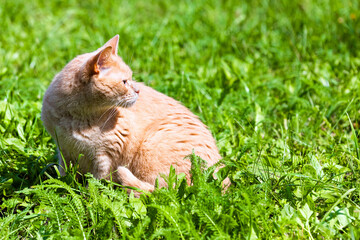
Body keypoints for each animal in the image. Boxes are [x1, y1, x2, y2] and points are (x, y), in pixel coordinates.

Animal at [40, 34, 226, 195]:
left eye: (131, 78)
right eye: (124, 82)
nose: (138, 90)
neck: (77, 118)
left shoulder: (106, 156)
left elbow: (97, 183)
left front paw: (88, 196)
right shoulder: (64, 151)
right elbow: (64, 177)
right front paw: (64, 190)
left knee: (156, 191)